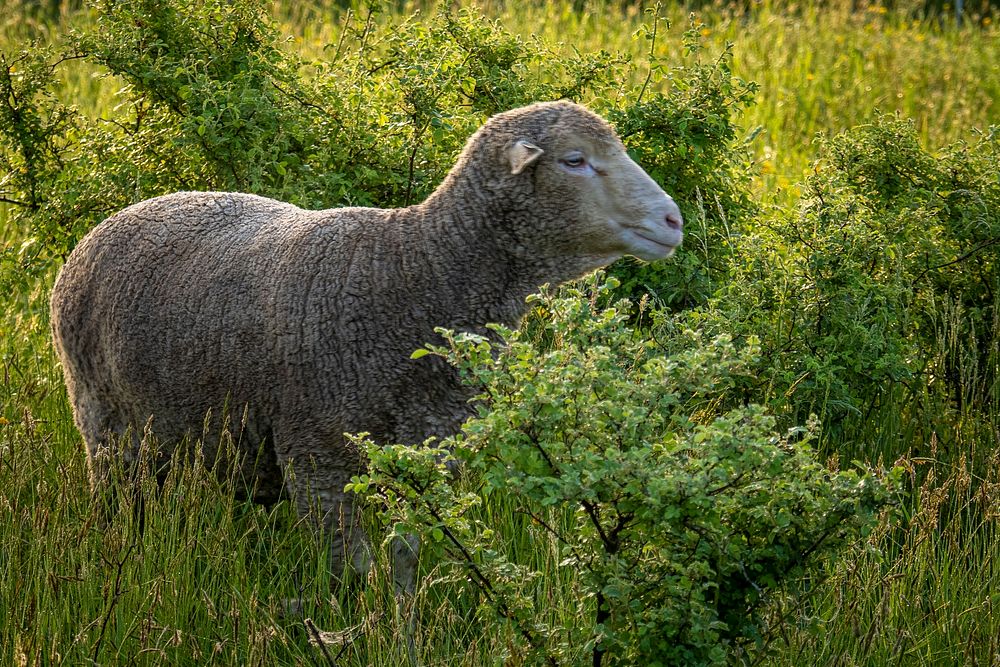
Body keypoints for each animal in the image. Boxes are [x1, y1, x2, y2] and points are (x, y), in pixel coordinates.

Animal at [50, 98, 684, 600]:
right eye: (575, 160)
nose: (674, 219)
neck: (411, 272)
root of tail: (107, 224)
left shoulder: (426, 457)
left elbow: (405, 559)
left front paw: (405, 631)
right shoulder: (318, 459)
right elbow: (351, 572)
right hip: (103, 421)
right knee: (120, 507)